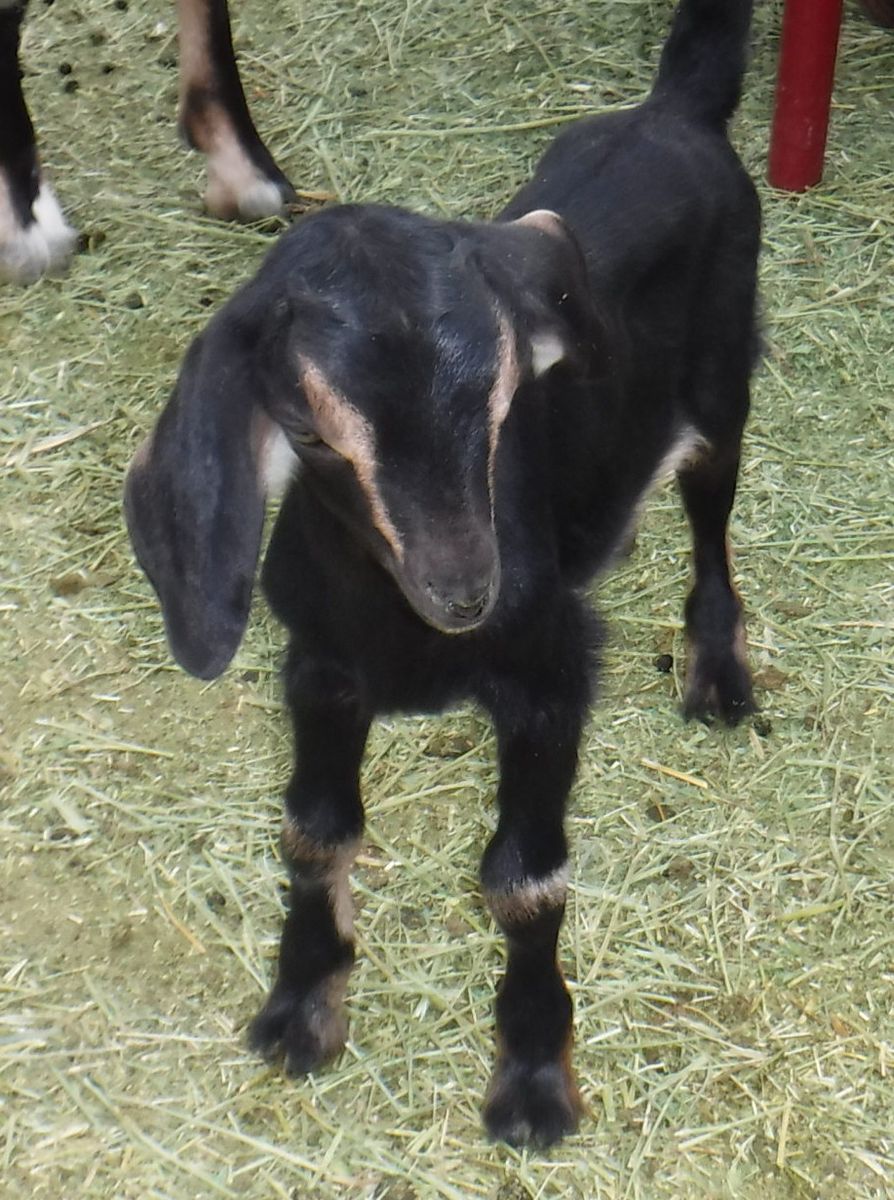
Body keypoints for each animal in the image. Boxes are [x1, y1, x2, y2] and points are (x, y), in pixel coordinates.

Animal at [125, 0, 760, 1147]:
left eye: (508, 396)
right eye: (307, 433)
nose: (466, 594)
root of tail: (673, 109)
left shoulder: (552, 676)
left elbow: (526, 878)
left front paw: (533, 1080)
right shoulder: (320, 666)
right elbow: (314, 829)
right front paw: (301, 1008)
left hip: (725, 374)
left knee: (712, 507)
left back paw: (718, 664)